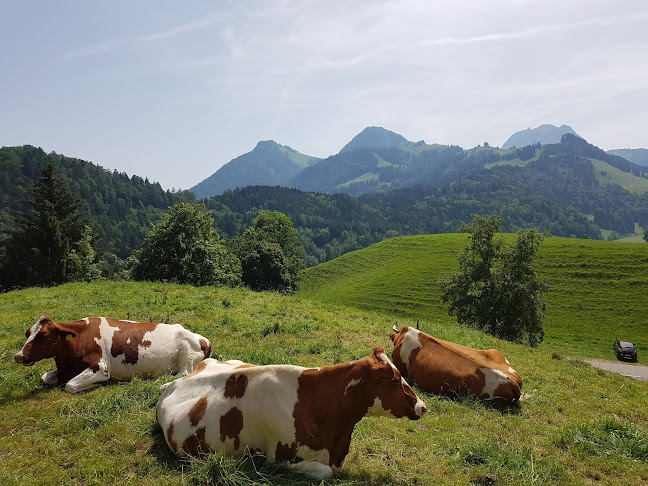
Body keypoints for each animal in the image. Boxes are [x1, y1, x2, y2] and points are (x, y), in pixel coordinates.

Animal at [13, 318, 210, 392]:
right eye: (27, 333)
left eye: (43, 336)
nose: (18, 356)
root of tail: (202, 338)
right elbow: (44, 377)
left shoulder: (100, 368)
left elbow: (69, 386)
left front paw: (94, 385)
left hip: (186, 353)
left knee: (183, 373)